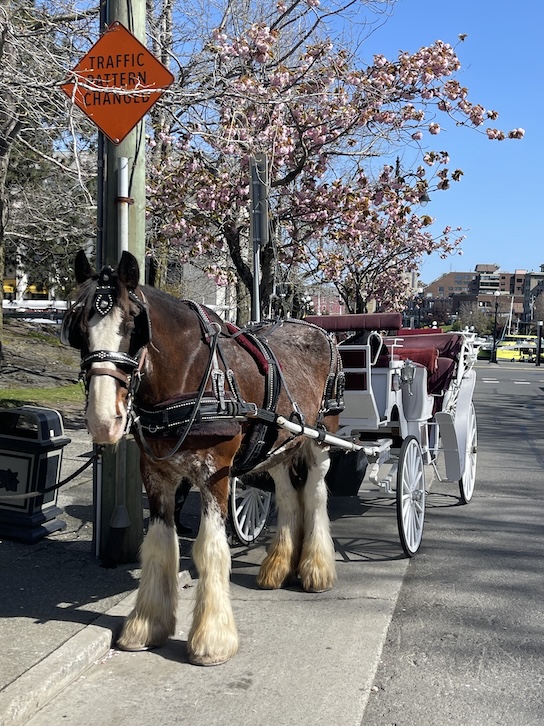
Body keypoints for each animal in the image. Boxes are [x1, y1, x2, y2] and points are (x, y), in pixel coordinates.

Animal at [61, 250, 344, 666]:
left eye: (132, 325)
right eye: (79, 327)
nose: (102, 420)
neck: (189, 375)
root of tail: (317, 329)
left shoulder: (217, 475)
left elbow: (209, 549)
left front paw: (212, 640)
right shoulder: (156, 474)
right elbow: (160, 545)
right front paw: (146, 627)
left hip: (320, 440)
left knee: (316, 494)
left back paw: (316, 569)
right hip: (277, 445)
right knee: (289, 496)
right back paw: (278, 568)